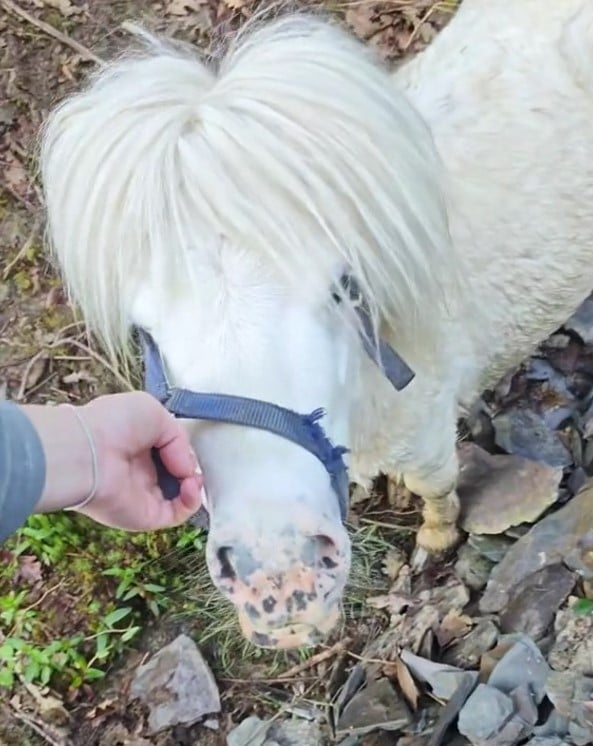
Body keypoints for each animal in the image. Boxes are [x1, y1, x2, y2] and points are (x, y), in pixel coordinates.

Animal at [39, 0, 592, 648]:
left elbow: (435, 491)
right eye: (143, 332)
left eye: (341, 287)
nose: (279, 578)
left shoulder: (428, 436)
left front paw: (435, 538)